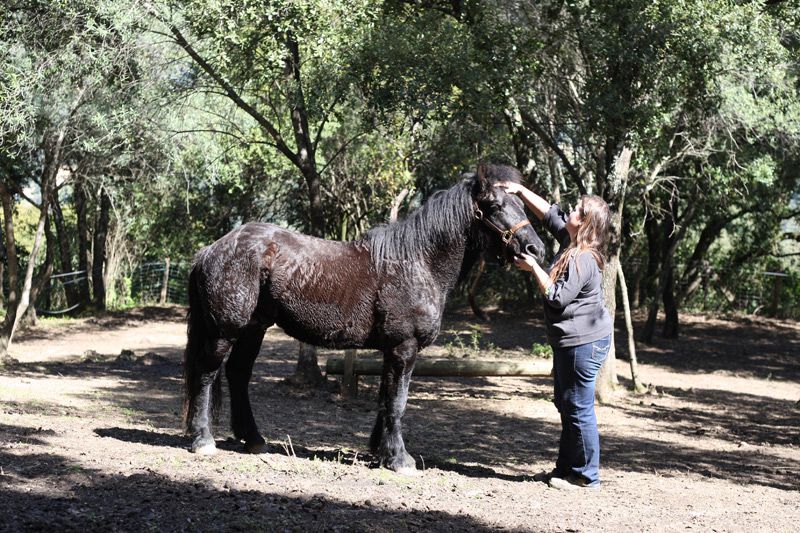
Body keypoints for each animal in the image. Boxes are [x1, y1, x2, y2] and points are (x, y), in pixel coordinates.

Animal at [183, 163, 546, 473]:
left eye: (521, 203)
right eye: (495, 206)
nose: (535, 250)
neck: (417, 262)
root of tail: (210, 249)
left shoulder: (392, 350)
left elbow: (387, 399)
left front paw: (381, 451)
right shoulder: (404, 347)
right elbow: (398, 402)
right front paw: (399, 459)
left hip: (253, 328)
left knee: (238, 373)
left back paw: (254, 439)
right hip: (225, 330)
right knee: (207, 373)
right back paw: (203, 440)